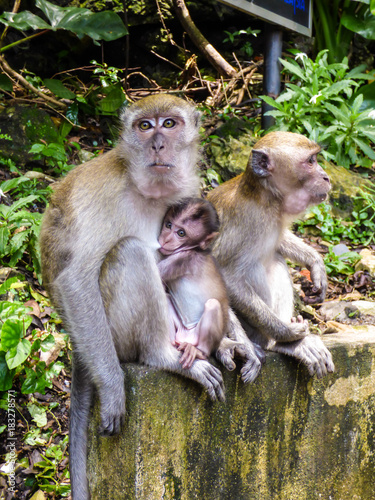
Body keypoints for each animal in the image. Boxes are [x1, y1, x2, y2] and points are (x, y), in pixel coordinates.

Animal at [157, 197, 231, 370]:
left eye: (181, 233)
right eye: (168, 225)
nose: (166, 239)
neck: (194, 248)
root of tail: (186, 338)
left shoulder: (183, 259)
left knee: (213, 305)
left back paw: (199, 352)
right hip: (181, 331)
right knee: (166, 298)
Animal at [209, 131, 334, 376]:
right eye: (311, 161)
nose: (326, 177)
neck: (265, 199)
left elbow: (280, 240)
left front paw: (316, 263)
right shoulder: (246, 223)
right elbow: (224, 276)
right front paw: (286, 332)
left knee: (275, 260)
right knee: (253, 268)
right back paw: (278, 341)